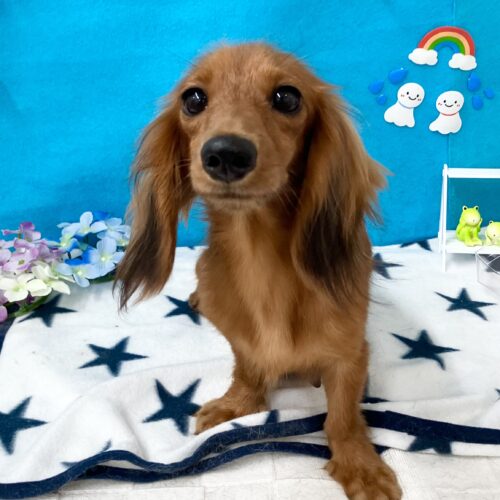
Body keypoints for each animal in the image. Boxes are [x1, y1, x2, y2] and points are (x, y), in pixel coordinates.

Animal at [115, 43, 402, 499]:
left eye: (287, 97)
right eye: (193, 99)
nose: (226, 154)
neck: (261, 263)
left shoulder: (349, 355)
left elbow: (341, 416)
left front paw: (360, 464)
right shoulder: (241, 339)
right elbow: (248, 369)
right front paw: (237, 405)